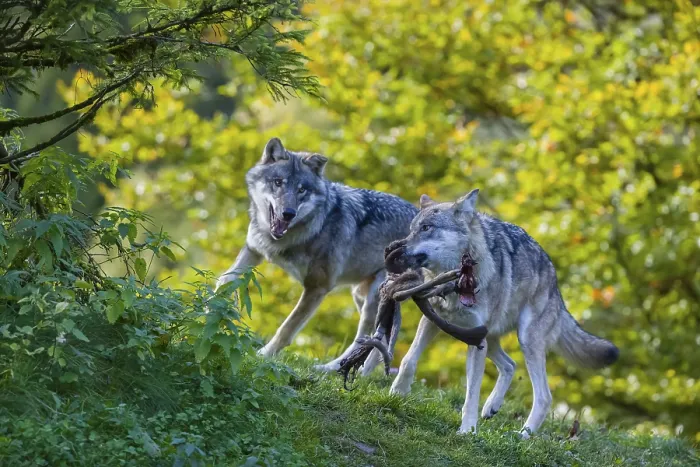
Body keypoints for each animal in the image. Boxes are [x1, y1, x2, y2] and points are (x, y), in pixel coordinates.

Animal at [215, 137, 418, 372]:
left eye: (302, 190)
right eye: (278, 182)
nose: (288, 213)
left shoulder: (317, 287)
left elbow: (287, 328)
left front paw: (263, 356)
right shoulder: (253, 251)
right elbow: (224, 281)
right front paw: (207, 311)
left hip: (374, 298)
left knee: (367, 339)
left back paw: (333, 370)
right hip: (360, 295)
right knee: (376, 342)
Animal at [388, 189, 619, 438]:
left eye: (427, 228)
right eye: (412, 229)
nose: (395, 249)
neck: (456, 282)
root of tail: (554, 281)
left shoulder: (476, 340)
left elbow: (471, 393)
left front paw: (467, 430)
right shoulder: (433, 320)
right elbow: (409, 359)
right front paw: (397, 393)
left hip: (525, 340)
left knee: (544, 396)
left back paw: (524, 434)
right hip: (490, 338)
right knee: (510, 365)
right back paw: (492, 406)